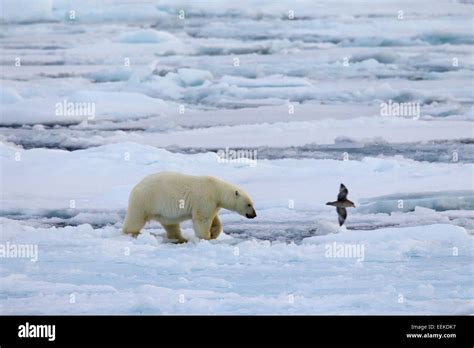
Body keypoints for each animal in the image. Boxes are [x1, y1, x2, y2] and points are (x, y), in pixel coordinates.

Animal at [122, 171, 256, 242]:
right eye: (249, 204)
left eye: (252, 204)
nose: (254, 215)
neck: (216, 189)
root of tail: (135, 187)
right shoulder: (205, 199)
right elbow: (202, 219)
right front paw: (206, 238)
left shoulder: (213, 204)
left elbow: (214, 220)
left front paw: (213, 233)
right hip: (145, 201)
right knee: (136, 219)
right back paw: (133, 233)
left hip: (161, 212)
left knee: (171, 225)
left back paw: (181, 239)